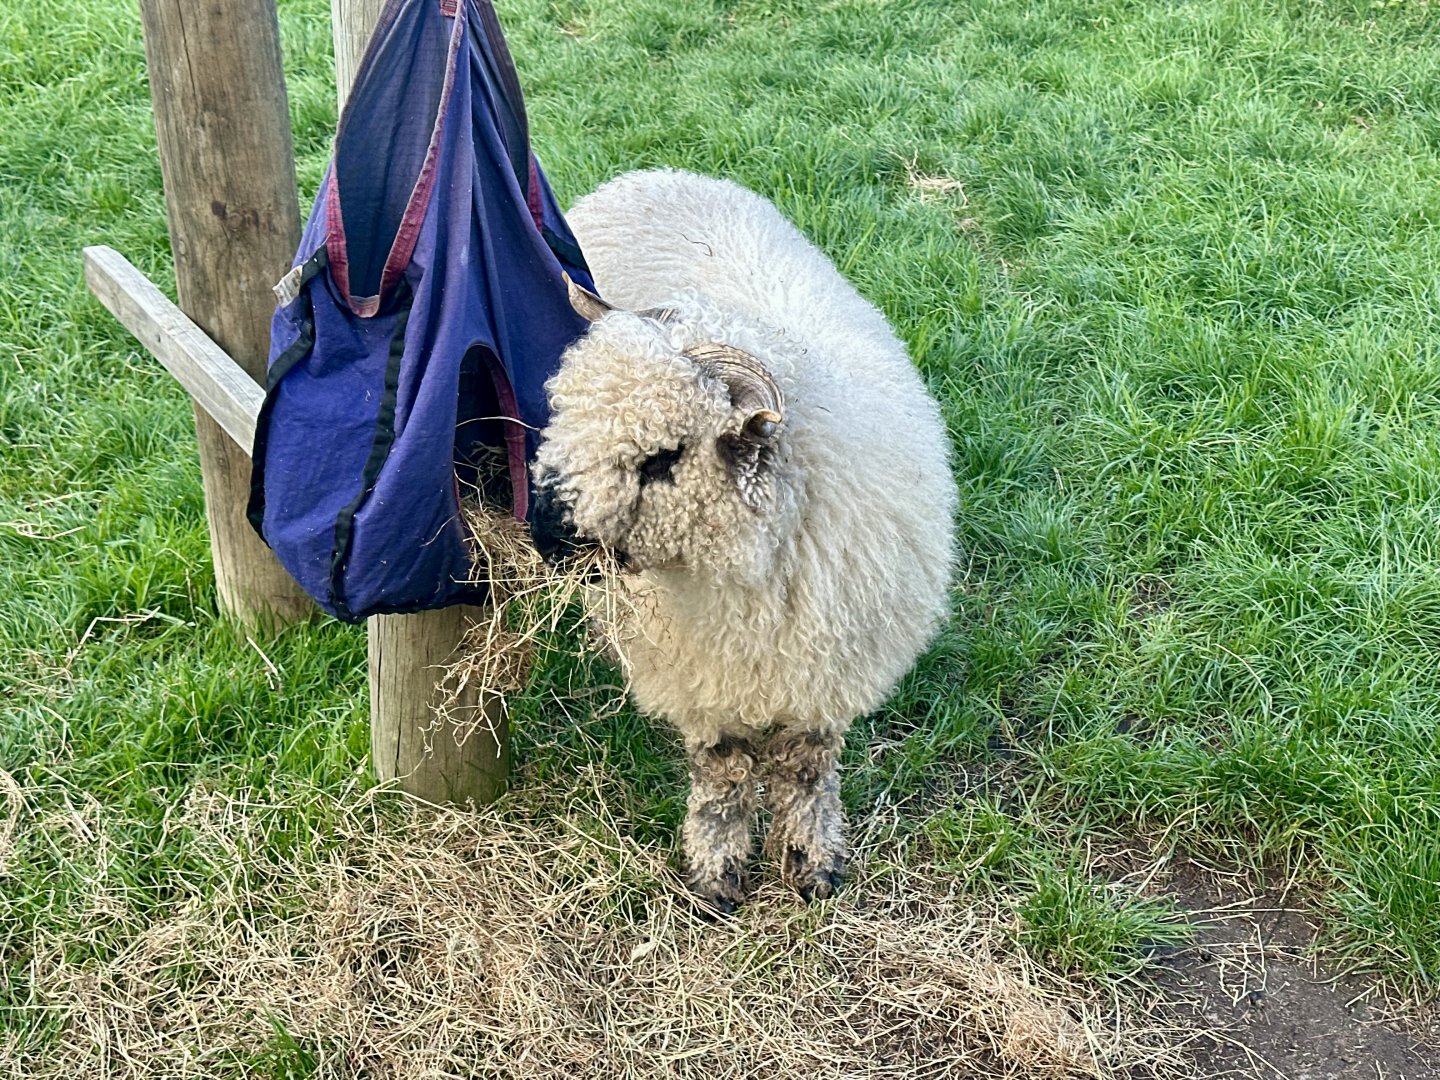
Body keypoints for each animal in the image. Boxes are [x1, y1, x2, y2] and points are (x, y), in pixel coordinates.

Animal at [530, 169, 957, 910]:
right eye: (564, 414)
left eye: (663, 458)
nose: (543, 531)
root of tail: (648, 172)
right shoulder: (700, 681)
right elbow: (723, 778)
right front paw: (716, 873)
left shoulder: (826, 671)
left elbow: (807, 769)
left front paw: (814, 865)